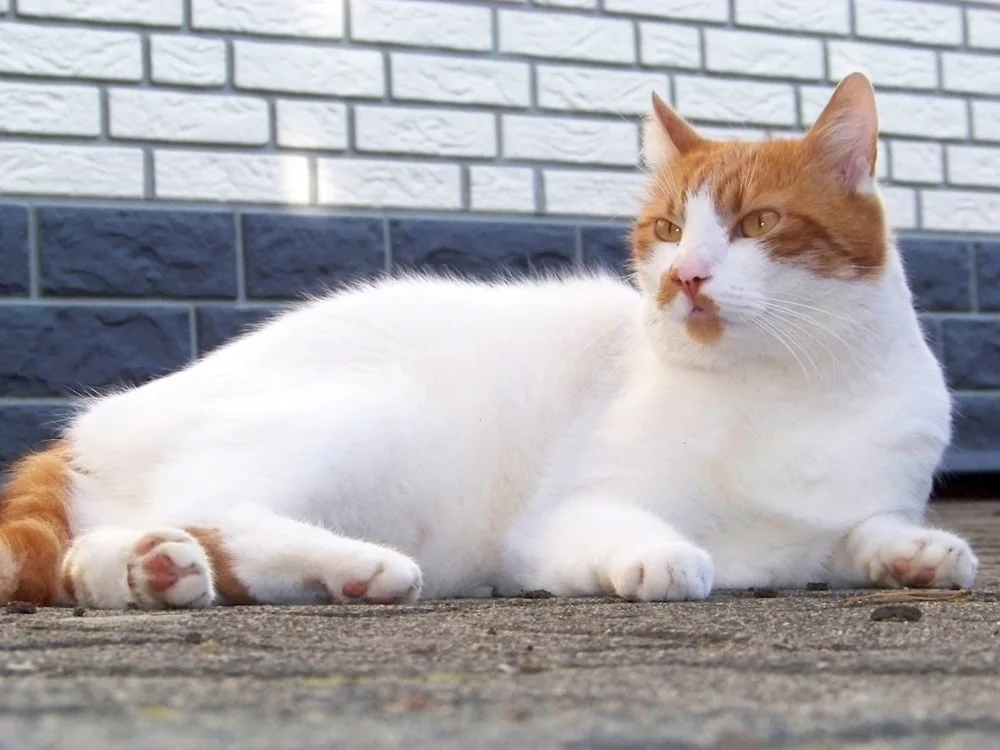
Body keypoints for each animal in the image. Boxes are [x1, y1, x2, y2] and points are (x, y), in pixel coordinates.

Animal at [0, 73, 976, 612]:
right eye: (666, 230)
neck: (780, 386)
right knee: (223, 507)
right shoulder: (556, 523)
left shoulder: (847, 506)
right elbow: (640, 531)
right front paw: (663, 555)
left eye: (758, 223)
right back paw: (353, 565)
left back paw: (154, 570)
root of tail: (94, 420)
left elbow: (862, 529)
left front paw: (918, 552)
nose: (686, 278)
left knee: (95, 553)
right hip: (371, 411)